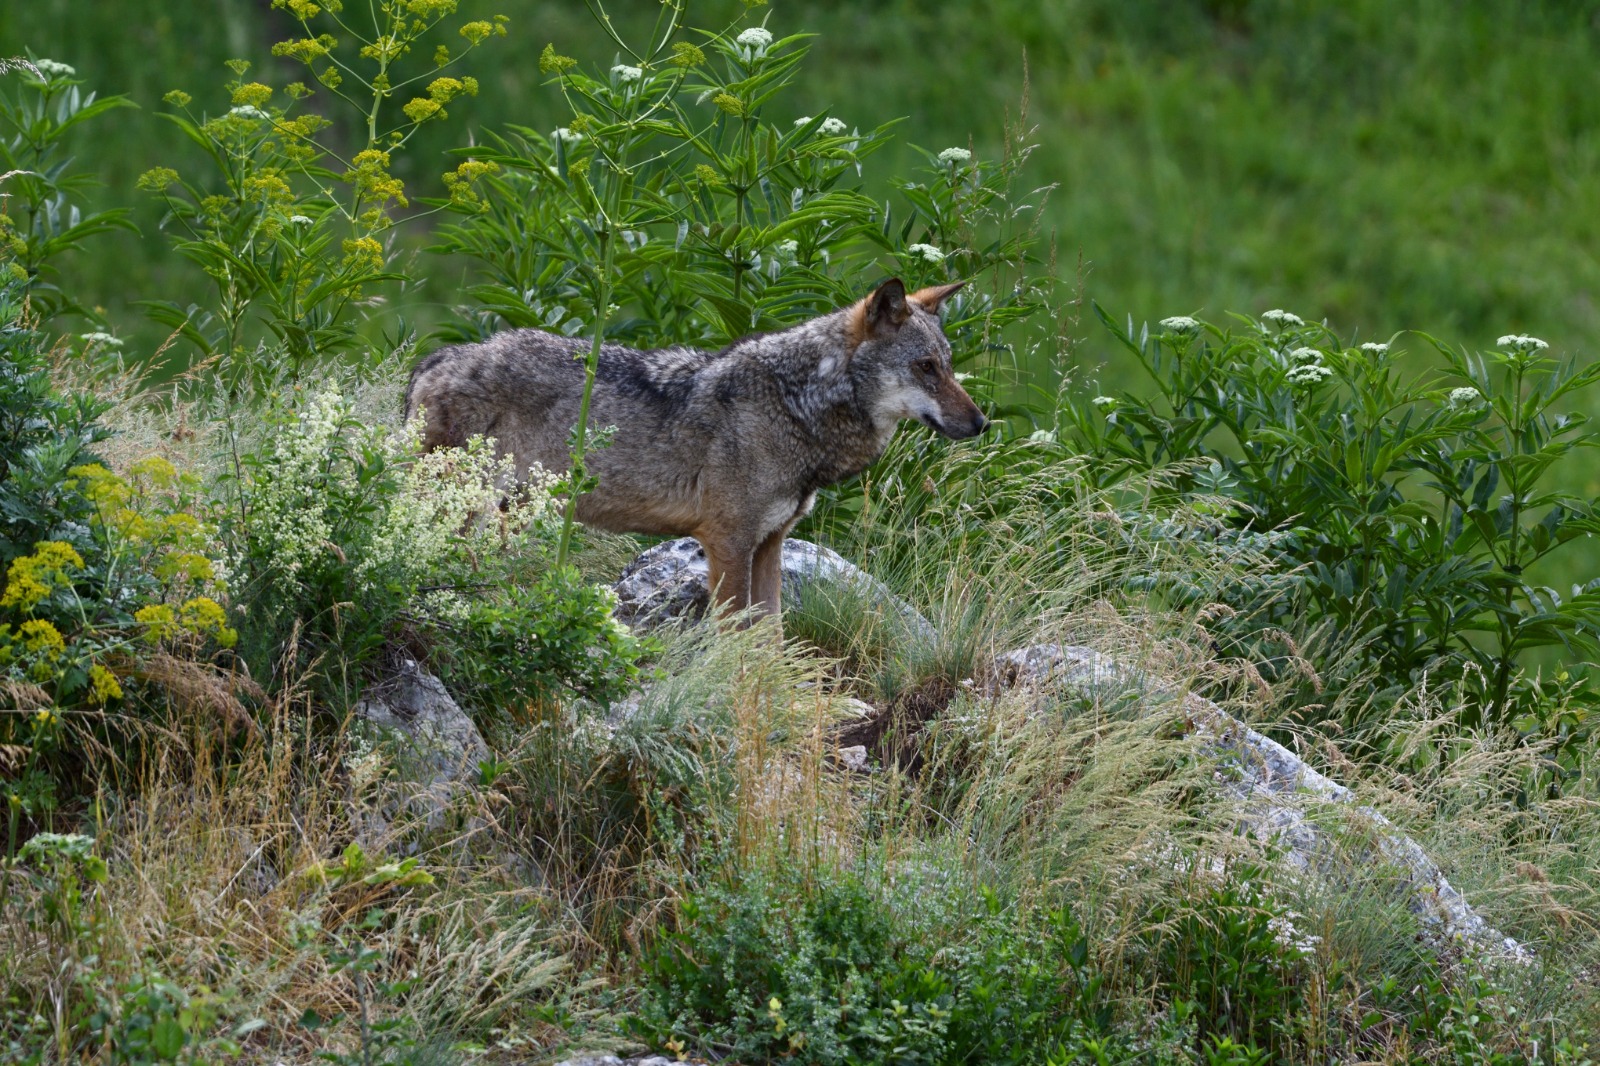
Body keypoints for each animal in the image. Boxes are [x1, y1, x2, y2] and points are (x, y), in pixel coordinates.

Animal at [406, 278, 985, 617]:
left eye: (949, 365)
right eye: (926, 368)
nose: (981, 423)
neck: (794, 404)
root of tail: (439, 359)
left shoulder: (770, 543)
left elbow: (770, 634)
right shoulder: (727, 541)